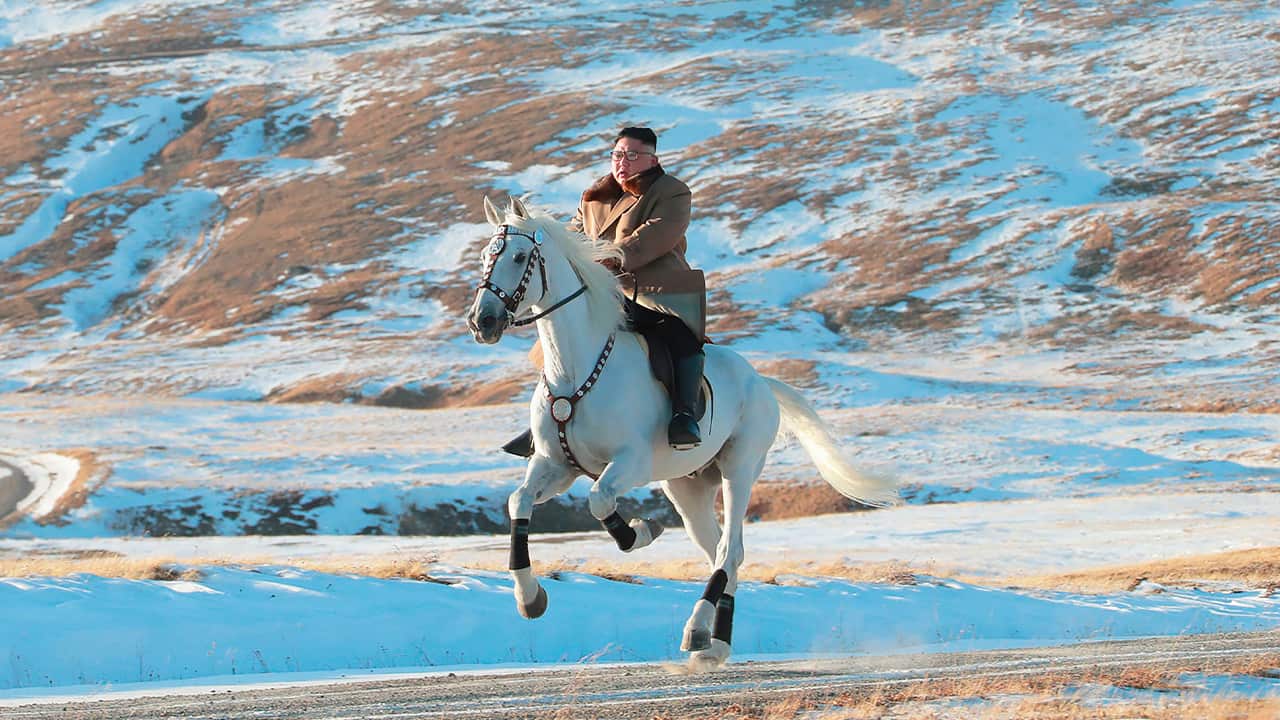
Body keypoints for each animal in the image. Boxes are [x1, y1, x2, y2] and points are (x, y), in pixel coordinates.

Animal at [466, 196, 897, 668]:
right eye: (486, 256)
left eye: (519, 257)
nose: (482, 321)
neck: (575, 369)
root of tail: (761, 381)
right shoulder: (555, 465)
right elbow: (518, 501)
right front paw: (530, 597)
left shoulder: (630, 463)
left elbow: (599, 500)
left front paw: (640, 532)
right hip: (687, 488)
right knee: (722, 552)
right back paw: (716, 643)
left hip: (739, 469)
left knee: (729, 550)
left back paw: (697, 630)